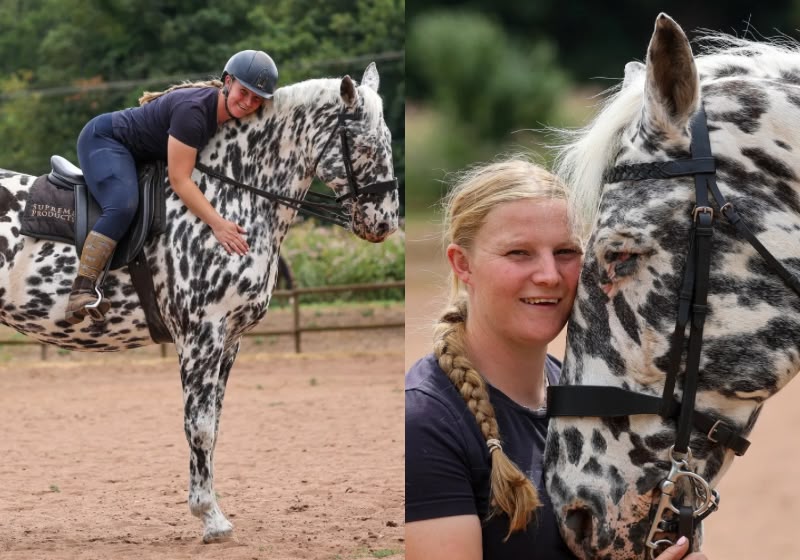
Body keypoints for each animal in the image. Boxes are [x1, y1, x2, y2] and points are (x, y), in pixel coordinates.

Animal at [0, 62, 399, 542]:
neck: (227, 198)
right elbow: (201, 427)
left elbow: (214, 424)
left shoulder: (229, 340)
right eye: (364, 145)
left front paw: (211, 509)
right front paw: (209, 517)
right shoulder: (200, 335)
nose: (386, 223)